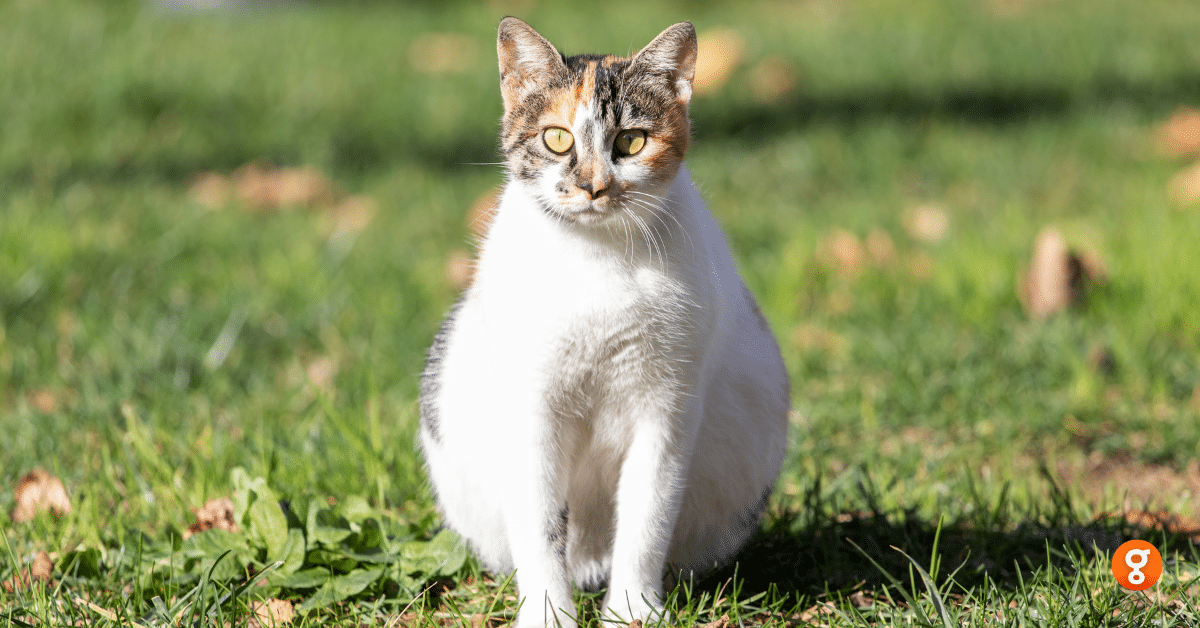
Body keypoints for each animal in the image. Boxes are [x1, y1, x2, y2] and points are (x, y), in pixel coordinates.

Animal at [417, 17, 792, 624]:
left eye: (630, 142)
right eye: (557, 138)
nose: (593, 185)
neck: (597, 264)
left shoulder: (667, 408)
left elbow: (646, 516)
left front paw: (634, 610)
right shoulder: (531, 410)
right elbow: (540, 525)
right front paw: (548, 613)